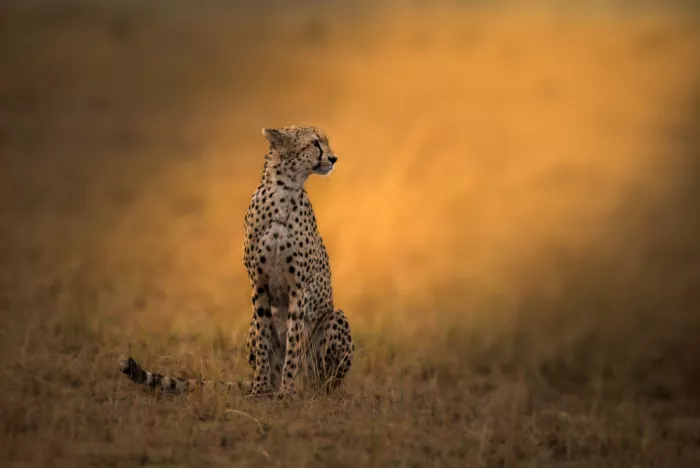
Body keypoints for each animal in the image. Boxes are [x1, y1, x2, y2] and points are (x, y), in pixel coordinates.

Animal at [119, 126, 354, 399]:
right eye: (314, 143)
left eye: (325, 142)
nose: (334, 158)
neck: (284, 191)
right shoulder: (259, 285)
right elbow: (264, 340)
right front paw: (260, 389)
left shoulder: (299, 287)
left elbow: (294, 341)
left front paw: (286, 392)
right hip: (252, 324)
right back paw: (269, 385)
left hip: (335, 320)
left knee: (326, 378)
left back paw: (314, 391)